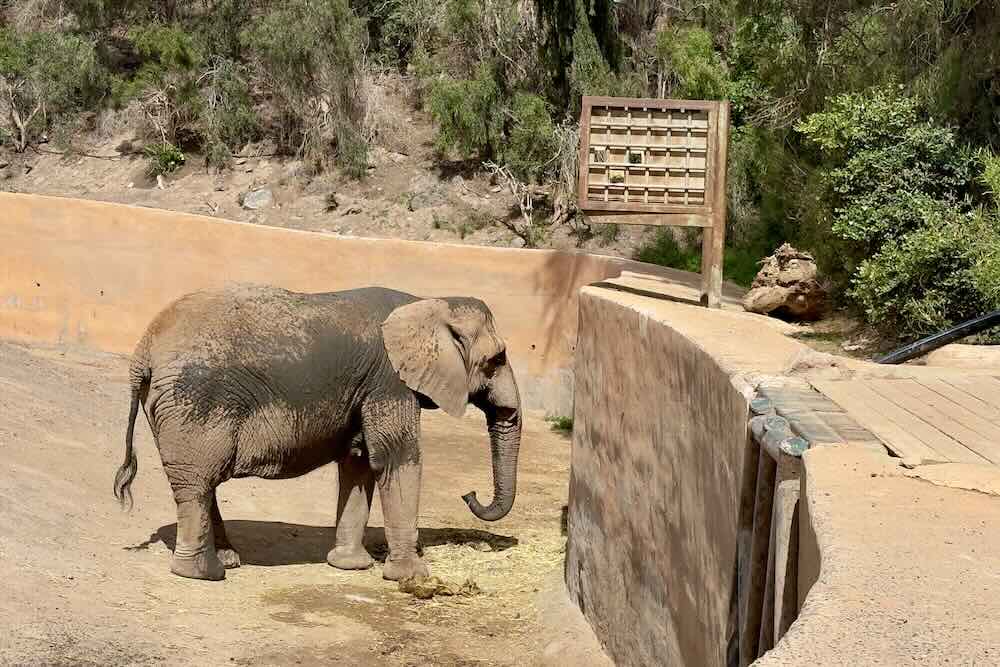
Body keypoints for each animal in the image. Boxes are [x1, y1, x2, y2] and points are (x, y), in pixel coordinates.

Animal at [113, 284, 522, 582]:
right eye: (497, 359)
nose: (469, 494)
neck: (428, 302)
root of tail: (144, 349)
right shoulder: (388, 382)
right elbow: (395, 457)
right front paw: (413, 577)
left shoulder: (366, 388)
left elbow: (359, 462)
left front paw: (350, 566)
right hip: (194, 403)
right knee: (198, 484)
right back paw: (204, 573)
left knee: (203, 482)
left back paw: (226, 561)